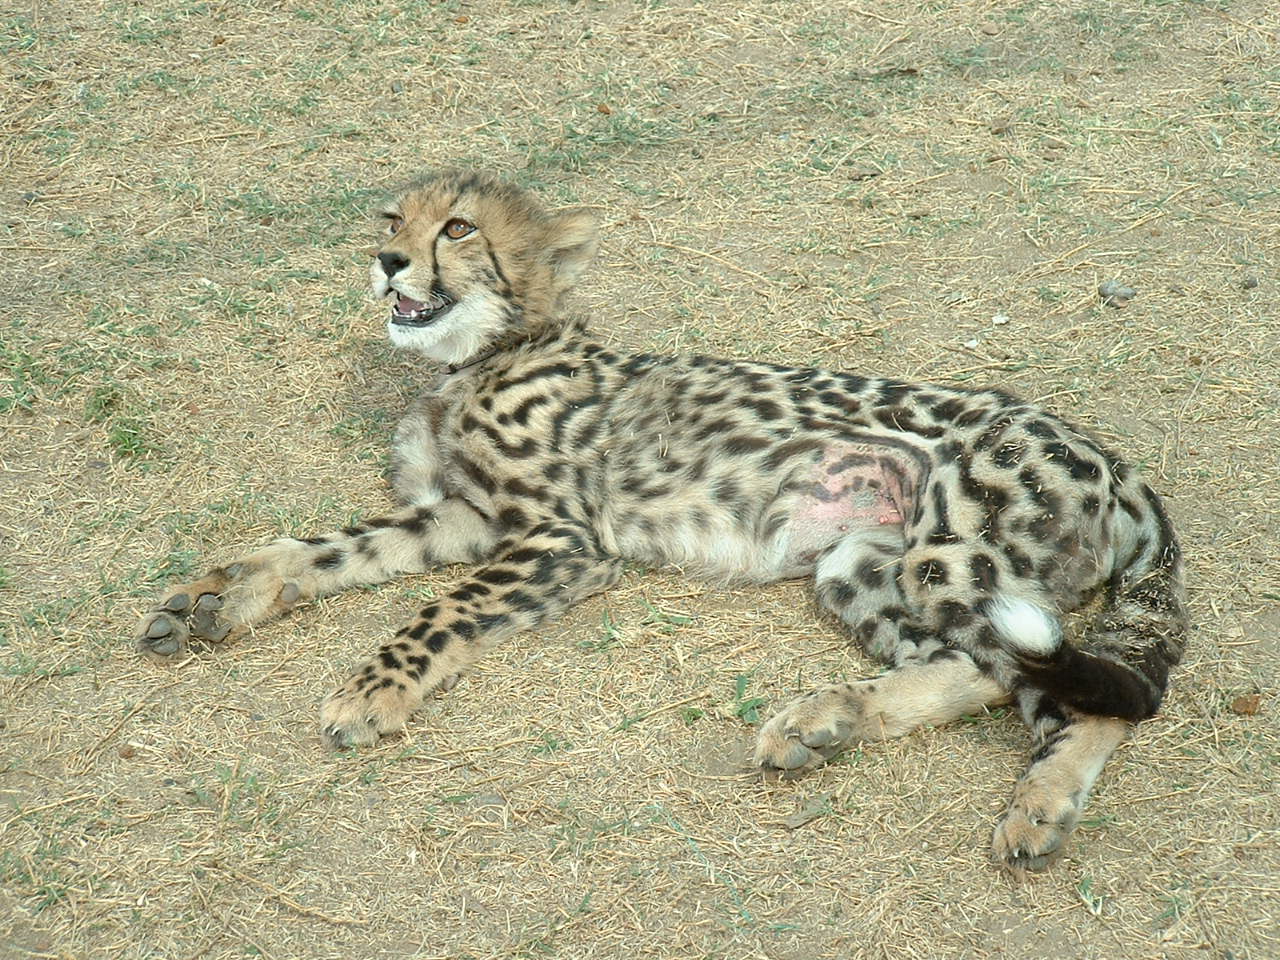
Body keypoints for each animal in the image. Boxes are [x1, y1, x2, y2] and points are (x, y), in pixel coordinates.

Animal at [135, 170, 1187, 871]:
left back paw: (1038, 805)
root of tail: (1114, 461)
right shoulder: (455, 519)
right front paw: (221, 593)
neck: (482, 355)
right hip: (857, 564)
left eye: (460, 228)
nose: (386, 259)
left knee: (1087, 697)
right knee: (976, 670)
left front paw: (373, 689)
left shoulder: (559, 543)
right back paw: (827, 721)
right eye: (394, 220)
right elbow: (327, 548)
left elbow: (437, 613)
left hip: (954, 554)